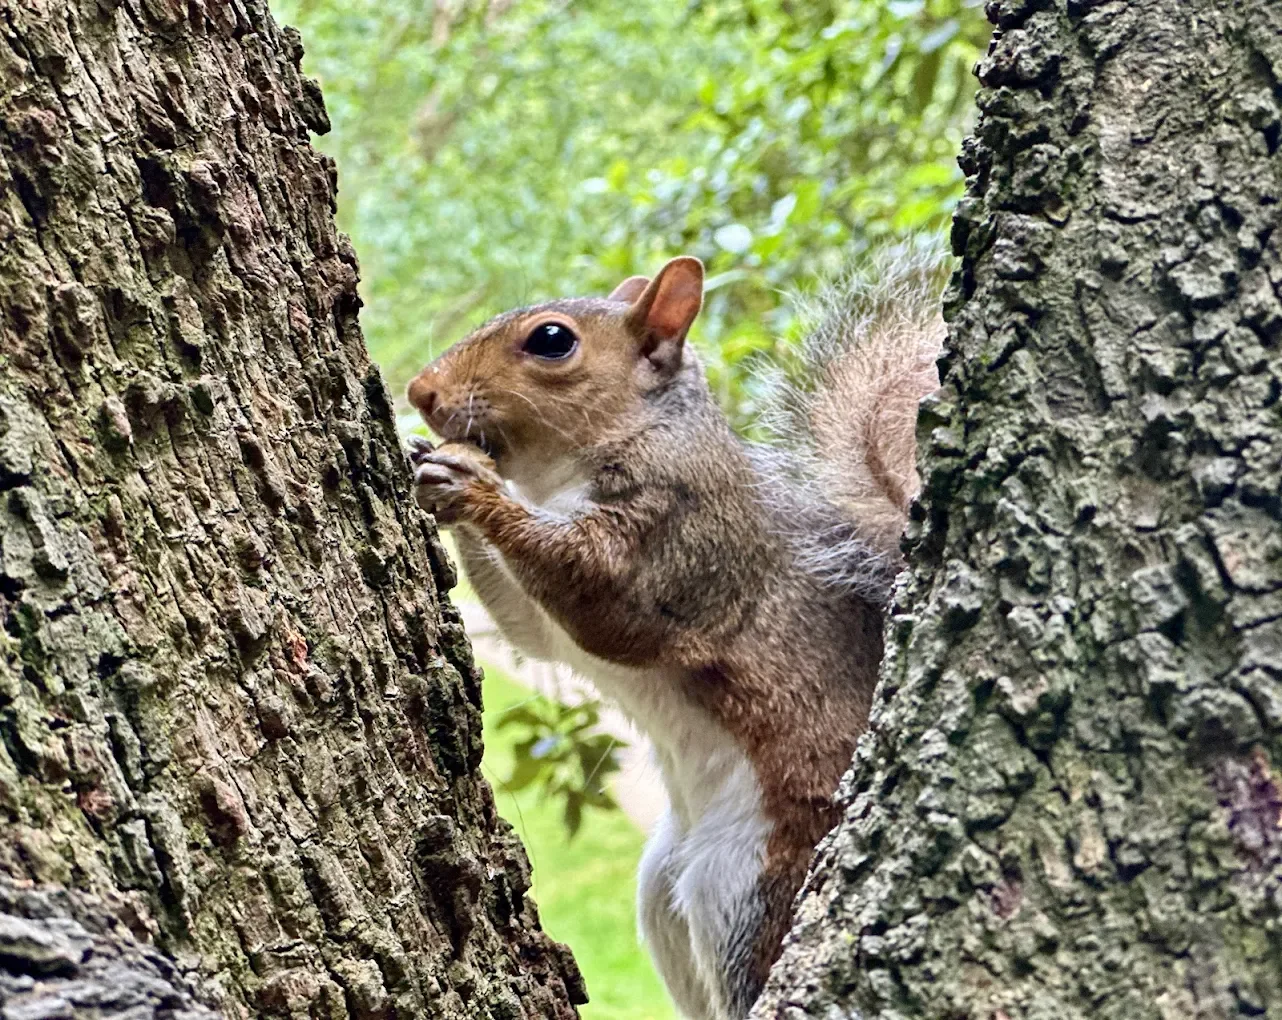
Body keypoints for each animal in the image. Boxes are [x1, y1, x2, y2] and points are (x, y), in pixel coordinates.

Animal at [405, 249, 945, 1020]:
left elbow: (602, 599)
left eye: (551, 340)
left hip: (745, 888)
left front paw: (472, 487)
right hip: (662, 894)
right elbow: (529, 631)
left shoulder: (681, 544)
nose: (419, 391)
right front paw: (426, 457)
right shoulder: (546, 625)